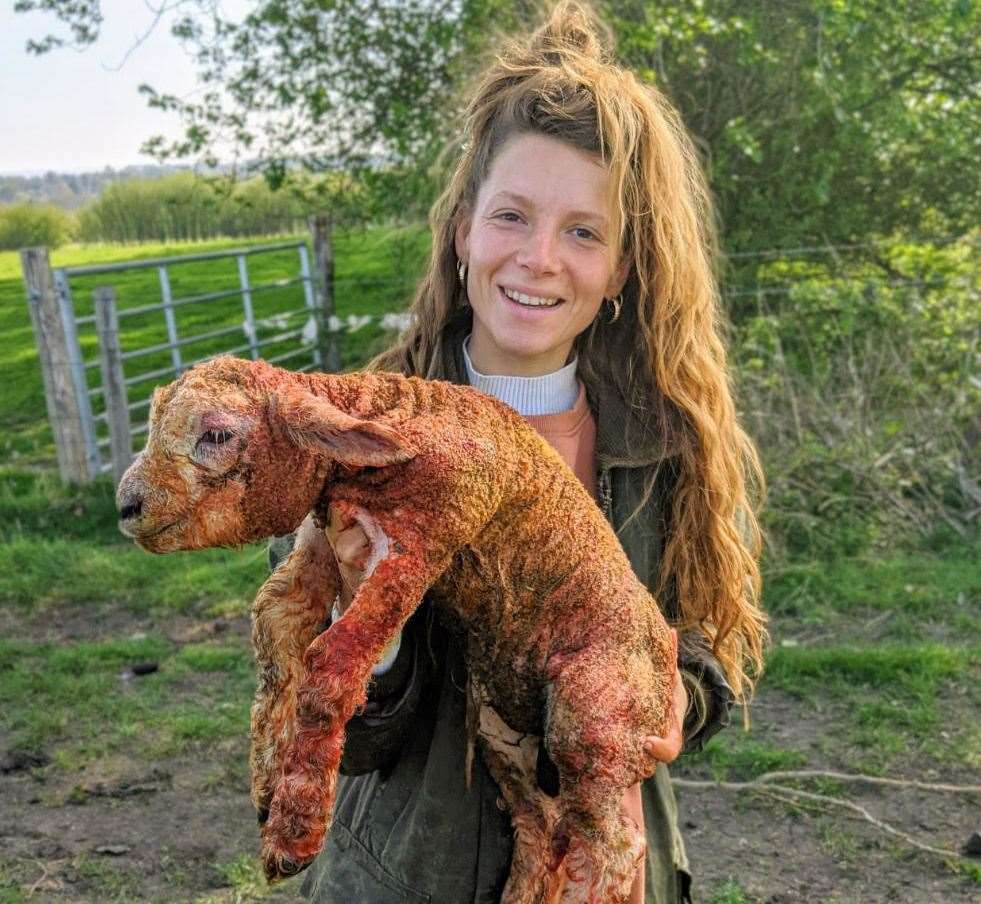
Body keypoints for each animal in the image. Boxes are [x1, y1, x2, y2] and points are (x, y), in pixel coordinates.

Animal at [117, 356, 672, 900]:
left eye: (216, 434)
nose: (126, 505)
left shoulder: (425, 538)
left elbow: (334, 658)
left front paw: (295, 830)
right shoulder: (321, 543)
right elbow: (274, 627)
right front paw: (269, 784)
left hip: (598, 711)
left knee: (615, 846)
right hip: (505, 737)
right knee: (542, 824)